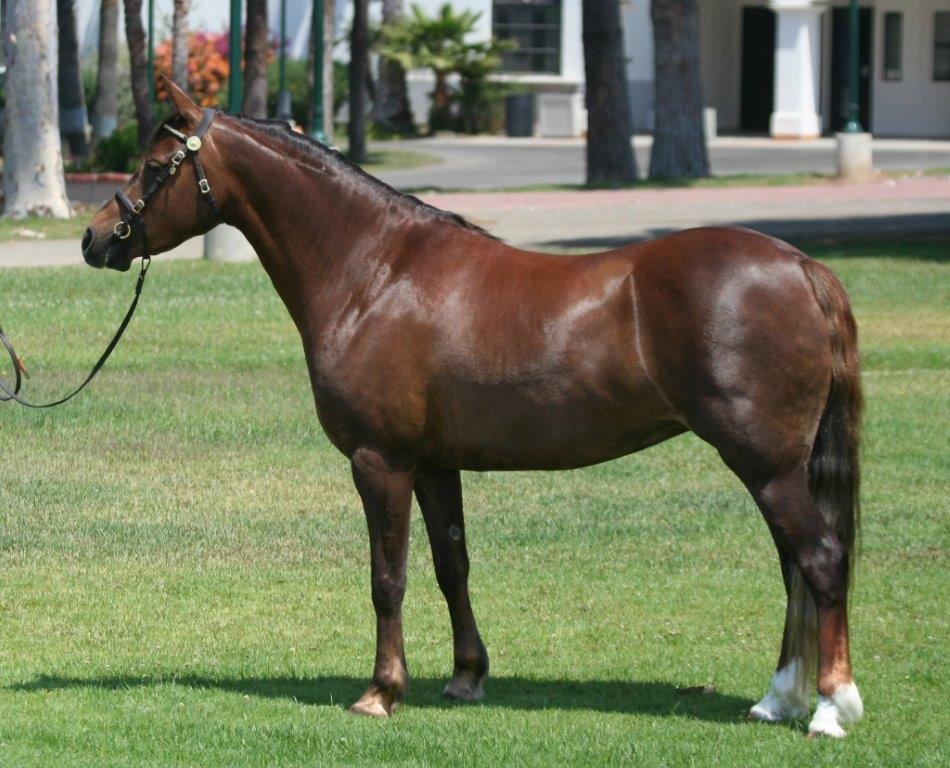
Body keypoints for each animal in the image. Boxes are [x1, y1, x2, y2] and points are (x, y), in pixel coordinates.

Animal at [80, 80, 864, 737]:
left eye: (155, 166)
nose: (94, 238)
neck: (375, 272)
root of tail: (802, 267)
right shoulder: (434, 465)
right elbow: (451, 563)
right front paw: (465, 678)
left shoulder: (381, 462)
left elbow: (387, 578)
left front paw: (382, 691)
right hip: (772, 467)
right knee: (794, 566)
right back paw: (777, 699)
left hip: (764, 463)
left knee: (820, 559)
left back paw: (829, 707)